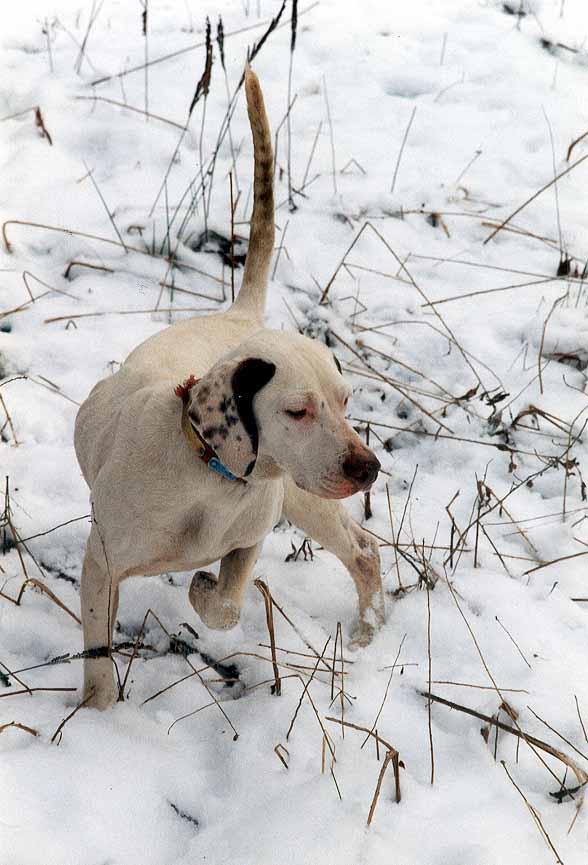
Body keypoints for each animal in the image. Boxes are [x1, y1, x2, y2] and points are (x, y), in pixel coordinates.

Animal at [74, 67, 386, 708]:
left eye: (346, 401)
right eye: (297, 411)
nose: (367, 468)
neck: (211, 480)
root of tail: (239, 316)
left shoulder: (248, 539)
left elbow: (226, 602)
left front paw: (201, 590)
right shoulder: (102, 566)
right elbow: (98, 657)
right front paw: (96, 711)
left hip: (302, 496)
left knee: (363, 554)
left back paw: (366, 635)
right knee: (363, 552)